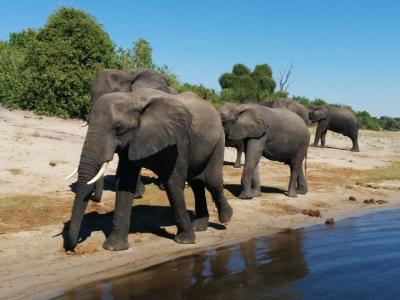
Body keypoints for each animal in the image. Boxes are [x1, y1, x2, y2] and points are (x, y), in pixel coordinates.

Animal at [67, 88, 233, 252]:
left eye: (118, 129)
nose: (73, 248)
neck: (133, 98)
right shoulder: (132, 142)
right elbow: (125, 183)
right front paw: (114, 247)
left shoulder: (177, 140)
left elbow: (173, 183)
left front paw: (184, 241)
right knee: (196, 183)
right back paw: (199, 227)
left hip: (219, 140)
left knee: (212, 181)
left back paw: (226, 218)